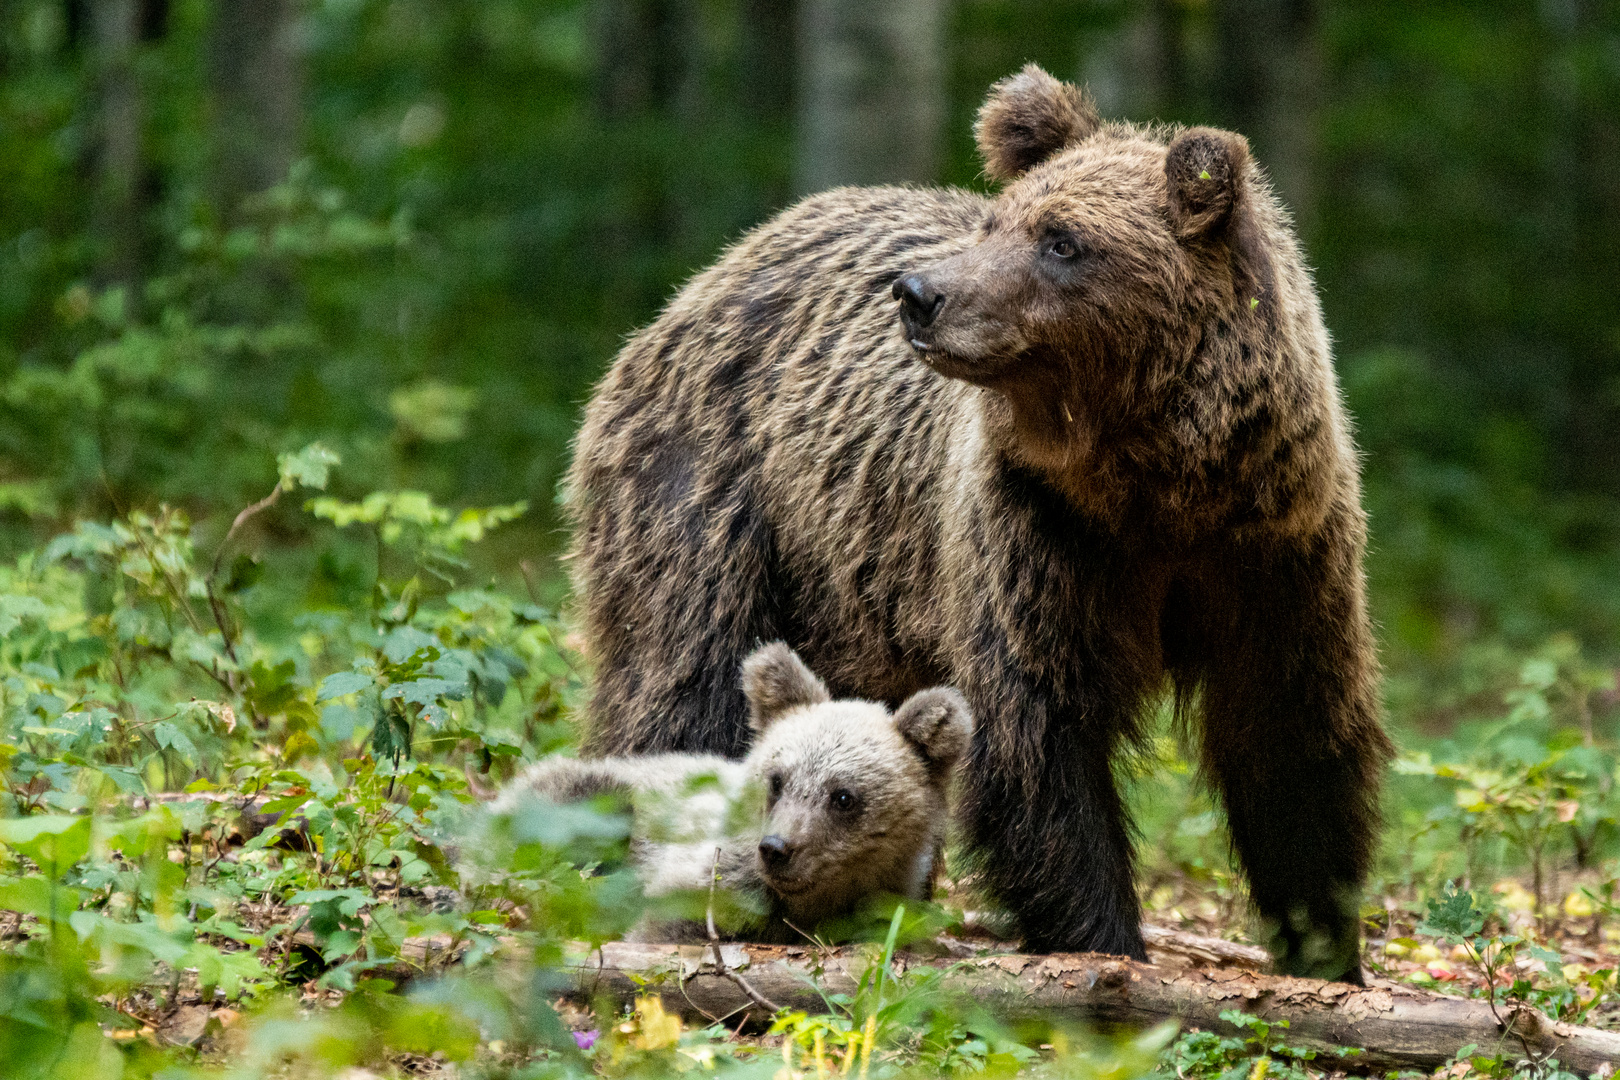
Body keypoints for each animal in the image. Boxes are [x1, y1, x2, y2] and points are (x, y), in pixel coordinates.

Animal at [567, 63, 1393, 984]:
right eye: (1000, 220)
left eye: (1063, 240)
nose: (919, 294)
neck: (1155, 485)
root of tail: (709, 275)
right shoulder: (1040, 537)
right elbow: (1038, 736)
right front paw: (1102, 938)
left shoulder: (1275, 550)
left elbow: (1290, 741)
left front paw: (1325, 949)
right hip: (715, 501)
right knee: (684, 681)